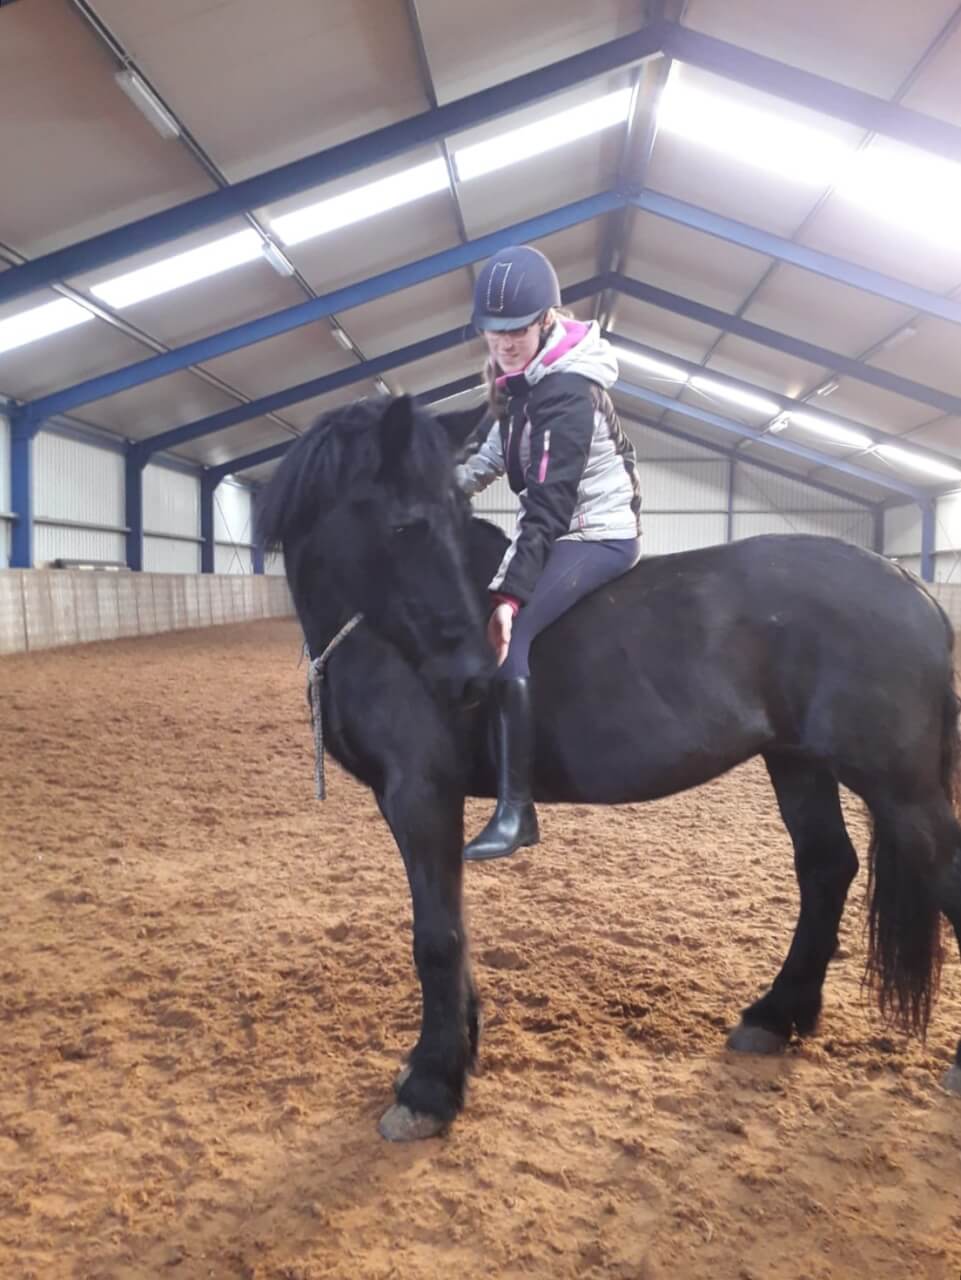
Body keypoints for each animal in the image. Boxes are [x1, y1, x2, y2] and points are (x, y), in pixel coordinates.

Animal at [257, 392, 961, 1142]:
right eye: (407, 525)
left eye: (435, 520)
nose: (475, 676)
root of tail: (910, 584)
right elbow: (456, 931)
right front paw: (455, 1057)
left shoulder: (422, 795)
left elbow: (437, 938)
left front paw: (429, 1087)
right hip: (797, 761)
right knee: (826, 867)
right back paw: (775, 1016)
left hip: (899, 786)